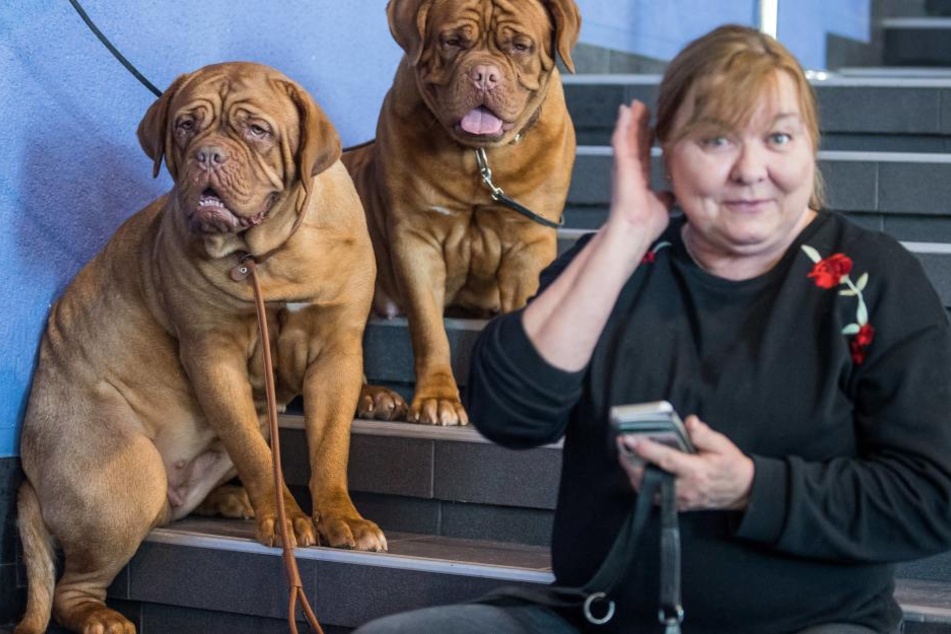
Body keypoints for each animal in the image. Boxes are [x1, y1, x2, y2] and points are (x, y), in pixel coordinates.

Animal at [15, 63, 386, 632]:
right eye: (186, 126)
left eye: (257, 130)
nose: (208, 154)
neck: (268, 256)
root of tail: (31, 480)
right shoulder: (214, 358)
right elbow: (257, 455)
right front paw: (285, 518)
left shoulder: (337, 351)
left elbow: (329, 447)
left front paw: (343, 518)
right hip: (130, 481)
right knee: (73, 587)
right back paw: (101, 616)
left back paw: (230, 501)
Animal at [342, 1, 580, 424]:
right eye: (452, 41)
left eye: (519, 46)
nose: (484, 74)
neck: (480, 157)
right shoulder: (416, 241)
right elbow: (429, 330)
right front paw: (437, 399)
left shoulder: (528, 244)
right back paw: (374, 398)